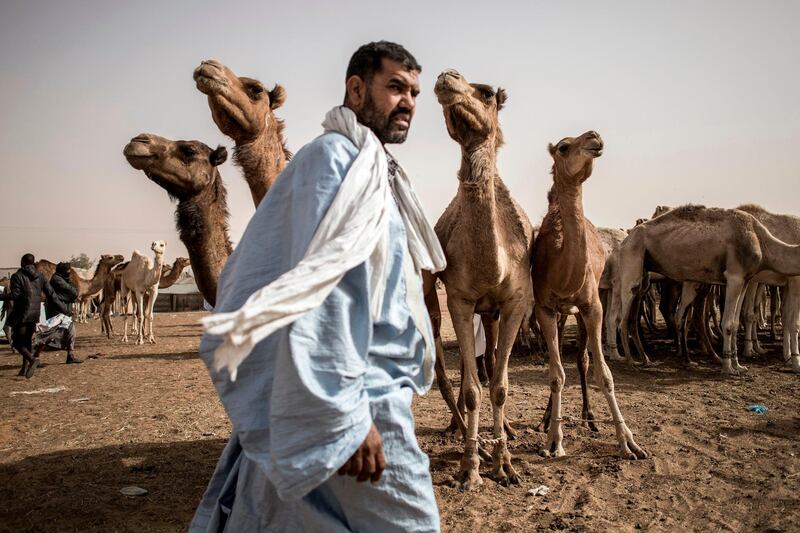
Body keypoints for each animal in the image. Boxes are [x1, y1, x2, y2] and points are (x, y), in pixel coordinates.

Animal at [424, 70, 536, 490]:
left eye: (486, 93)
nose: (447, 77)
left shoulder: (516, 300)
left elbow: (501, 386)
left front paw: (505, 464)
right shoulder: (459, 298)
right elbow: (473, 390)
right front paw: (470, 467)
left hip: (493, 312)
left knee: (489, 359)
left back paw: (509, 433)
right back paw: (457, 432)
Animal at [532, 131, 648, 460]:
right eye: (563, 147)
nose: (594, 137)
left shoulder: (592, 305)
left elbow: (604, 374)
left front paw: (629, 443)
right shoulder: (545, 308)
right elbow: (556, 375)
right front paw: (554, 441)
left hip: (583, 310)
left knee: (582, 359)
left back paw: (590, 418)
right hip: (561, 313)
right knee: (562, 361)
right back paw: (547, 420)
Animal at [608, 204, 800, 374]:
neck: (762, 240)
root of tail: (626, 238)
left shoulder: (746, 279)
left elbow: (736, 322)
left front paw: (739, 365)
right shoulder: (734, 276)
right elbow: (728, 323)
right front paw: (728, 368)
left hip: (645, 273)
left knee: (635, 314)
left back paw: (648, 359)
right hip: (633, 256)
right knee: (623, 316)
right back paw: (631, 361)